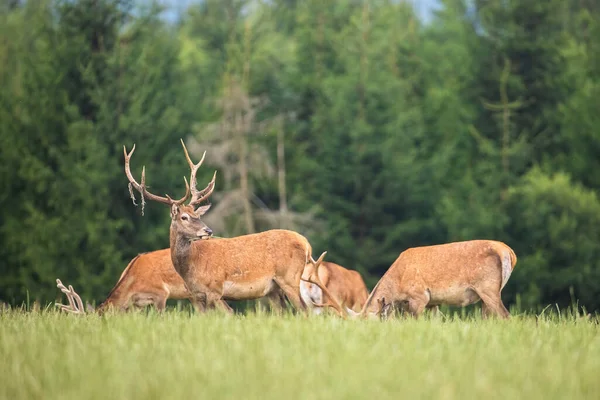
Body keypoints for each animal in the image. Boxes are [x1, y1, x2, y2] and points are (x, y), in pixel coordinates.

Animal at [122, 141, 344, 316]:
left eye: (197, 215)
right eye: (184, 217)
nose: (208, 231)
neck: (191, 268)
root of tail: (306, 243)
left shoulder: (215, 290)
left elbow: (228, 315)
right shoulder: (197, 296)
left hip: (289, 278)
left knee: (305, 312)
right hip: (273, 289)